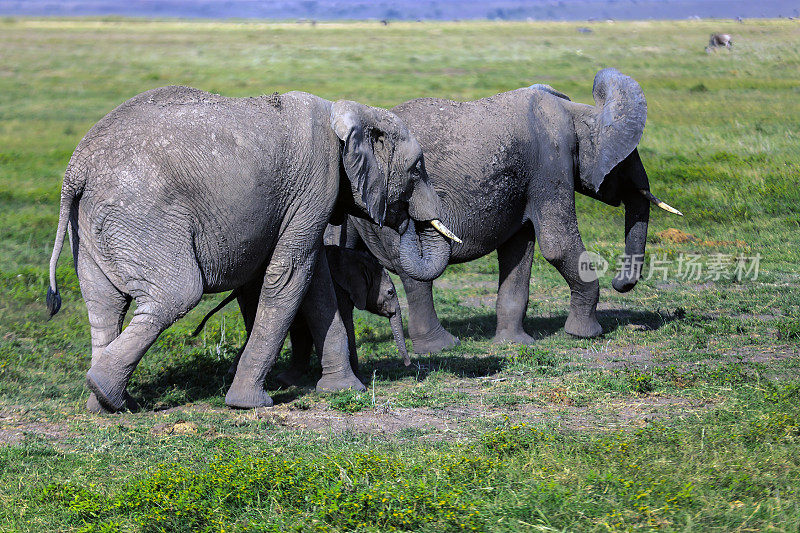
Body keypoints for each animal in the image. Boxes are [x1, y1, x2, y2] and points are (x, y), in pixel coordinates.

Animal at [47, 84, 456, 412]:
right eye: (416, 169)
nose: (406, 220)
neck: (349, 112)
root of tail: (77, 168)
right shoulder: (316, 183)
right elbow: (289, 276)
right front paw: (250, 404)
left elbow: (316, 284)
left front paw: (343, 389)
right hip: (142, 215)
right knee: (176, 294)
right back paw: (104, 390)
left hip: (94, 226)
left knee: (105, 304)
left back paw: (105, 402)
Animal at [350, 68, 680, 356]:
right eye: (626, 161)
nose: (620, 283)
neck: (576, 112)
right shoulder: (551, 161)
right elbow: (557, 246)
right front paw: (585, 334)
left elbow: (519, 250)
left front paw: (515, 344)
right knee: (415, 273)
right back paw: (442, 347)